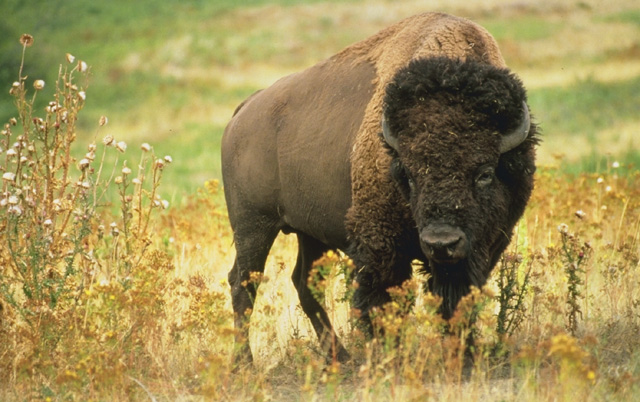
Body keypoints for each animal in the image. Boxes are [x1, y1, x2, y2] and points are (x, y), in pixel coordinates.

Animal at [221, 12, 538, 363]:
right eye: (409, 175)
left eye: (484, 173)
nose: (441, 242)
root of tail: (244, 110)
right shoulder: (381, 245)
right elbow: (382, 301)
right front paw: (389, 356)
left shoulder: (484, 247)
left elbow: (458, 300)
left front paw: (461, 356)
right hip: (253, 226)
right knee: (243, 283)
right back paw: (245, 362)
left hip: (310, 233)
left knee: (303, 283)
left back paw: (340, 357)